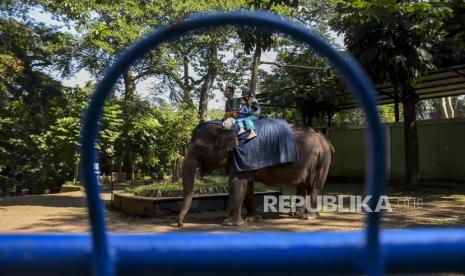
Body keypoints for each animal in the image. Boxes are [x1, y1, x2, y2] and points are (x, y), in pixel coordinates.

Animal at [176, 121, 332, 226]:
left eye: (199, 148)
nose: (180, 224)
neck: (228, 128)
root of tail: (324, 138)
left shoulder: (244, 155)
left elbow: (237, 182)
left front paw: (230, 223)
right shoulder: (245, 162)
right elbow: (248, 185)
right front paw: (252, 219)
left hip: (321, 159)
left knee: (313, 185)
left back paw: (309, 217)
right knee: (302, 185)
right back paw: (295, 214)